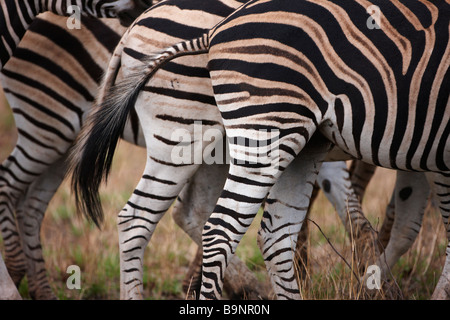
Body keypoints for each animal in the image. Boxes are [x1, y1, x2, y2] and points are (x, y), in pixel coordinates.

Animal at [68, 0, 444, 298]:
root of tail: (137, 24)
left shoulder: (415, 150)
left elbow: (402, 222)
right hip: (191, 136)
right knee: (148, 218)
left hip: (222, 144)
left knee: (195, 213)